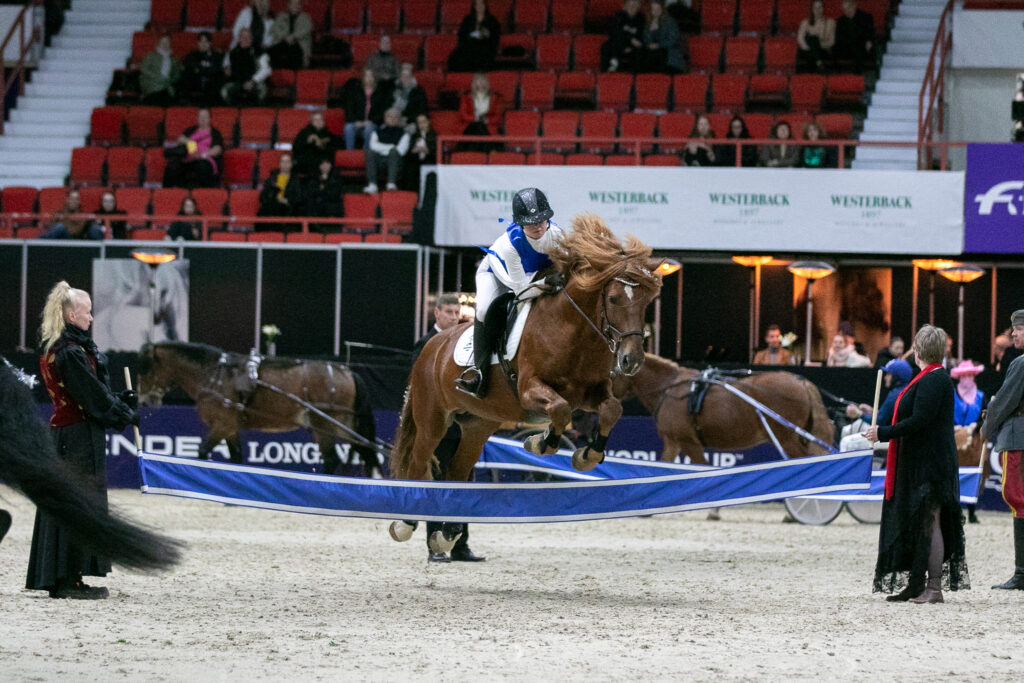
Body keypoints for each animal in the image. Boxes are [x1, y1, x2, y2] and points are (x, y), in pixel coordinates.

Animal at [138, 341, 379, 476]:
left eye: (146, 368)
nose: (143, 399)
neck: (215, 374)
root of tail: (347, 371)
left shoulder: (222, 425)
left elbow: (202, 452)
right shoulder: (231, 428)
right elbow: (236, 458)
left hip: (325, 424)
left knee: (332, 459)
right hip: (347, 426)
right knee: (367, 453)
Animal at [389, 213, 663, 552]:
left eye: (647, 302)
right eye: (612, 299)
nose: (631, 361)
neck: (574, 331)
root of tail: (431, 346)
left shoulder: (591, 393)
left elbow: (612, 410)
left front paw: (586, 456)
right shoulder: (530, 390)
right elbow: (559, 410)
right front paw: (540, 442)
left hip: (478, 424)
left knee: (458, 470)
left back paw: (447, 533)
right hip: (433, 419)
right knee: (418, 463)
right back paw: (406, 523)